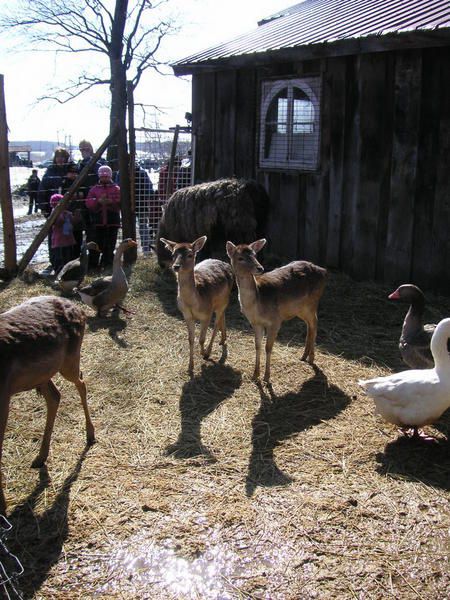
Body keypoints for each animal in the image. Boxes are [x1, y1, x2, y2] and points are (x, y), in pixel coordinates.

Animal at [0, 296, 95, 516]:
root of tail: (79, 308)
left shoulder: (3, 395)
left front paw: (2, 508)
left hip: (70, 360)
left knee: (81, 382)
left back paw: (90, 435)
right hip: (43, 374)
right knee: (55, 396)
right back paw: (40, 457)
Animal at [160, 236, 234, 372]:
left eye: (190, 254)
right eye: (173, 254)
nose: (176, 266)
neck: (194, 303)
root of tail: (226, 263)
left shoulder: (206, 314)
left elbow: (201, 339)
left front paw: (204, 353)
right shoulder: (187, 315)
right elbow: (191, 339)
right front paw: (190, 367)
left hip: (224, 300)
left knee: (217, 323)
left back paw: (210, 350)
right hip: (220, 303)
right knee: (223, 315)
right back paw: (223, 339)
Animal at [227, 238, 326, 382]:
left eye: (254, 255)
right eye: (240, 258)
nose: (260, 268)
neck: (257, 304)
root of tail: (324, 272)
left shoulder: (275, 321)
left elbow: (268, 348)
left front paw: (267, 377)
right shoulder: (255, 323)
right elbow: (257, 346)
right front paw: (255, 375)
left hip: (312, 303)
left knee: (314, 323)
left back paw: (311, 358)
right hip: (300, 309)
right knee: (310, 324)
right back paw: (304, 356)